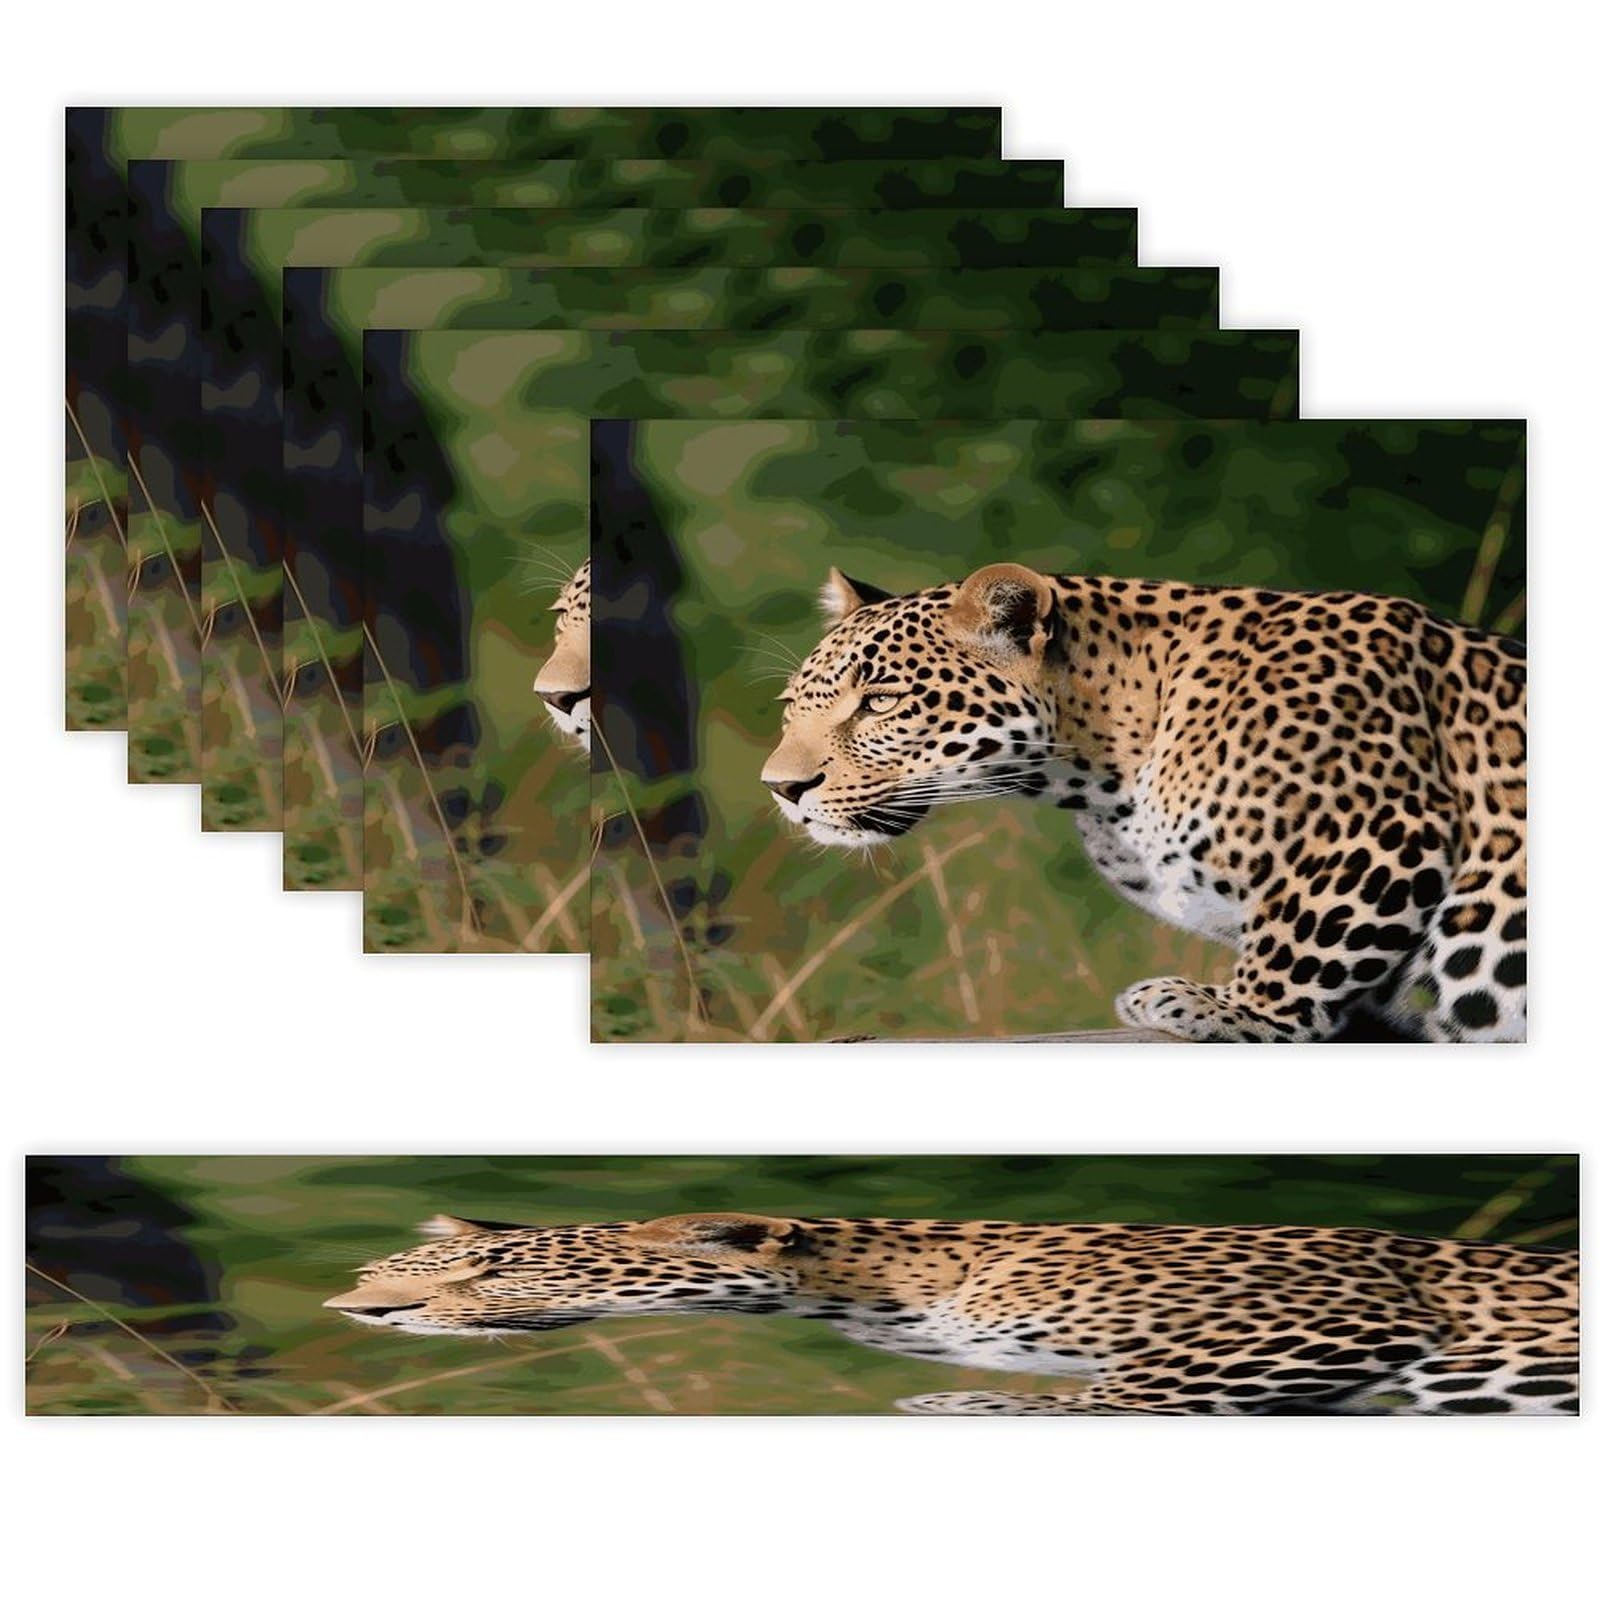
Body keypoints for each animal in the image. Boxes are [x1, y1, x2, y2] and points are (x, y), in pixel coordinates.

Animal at [760, 563, 1528, 1043]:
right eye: (793, 706)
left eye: (882, 701)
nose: (782, 788)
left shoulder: (1377, 827)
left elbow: (1304, 939)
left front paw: (1235, 1010)